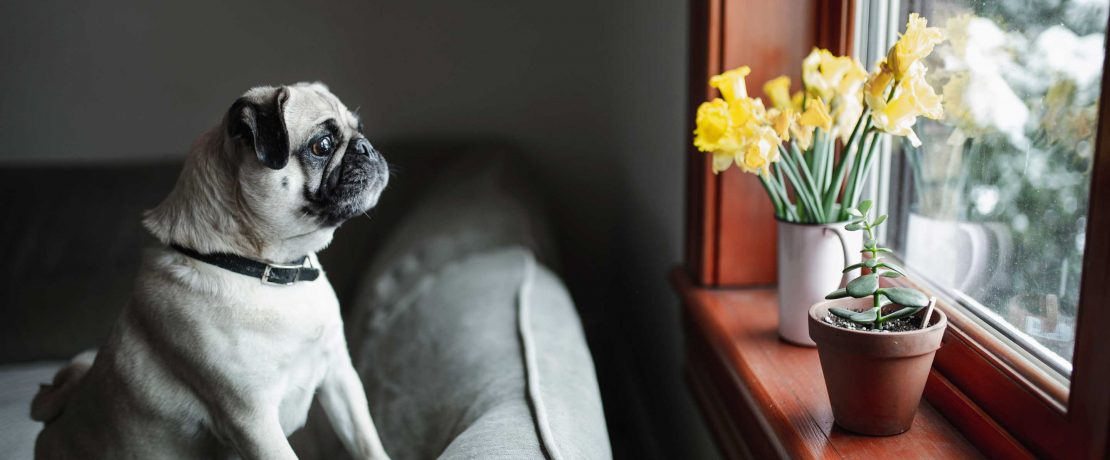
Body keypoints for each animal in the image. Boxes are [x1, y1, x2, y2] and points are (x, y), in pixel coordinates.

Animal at [30, 83, 392, 460]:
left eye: (360, 128)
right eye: (322, 145)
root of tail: (52, 423)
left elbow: (368, 444)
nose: (366, 146)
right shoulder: (254, 422)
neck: (272, 270)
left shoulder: (340, 377)